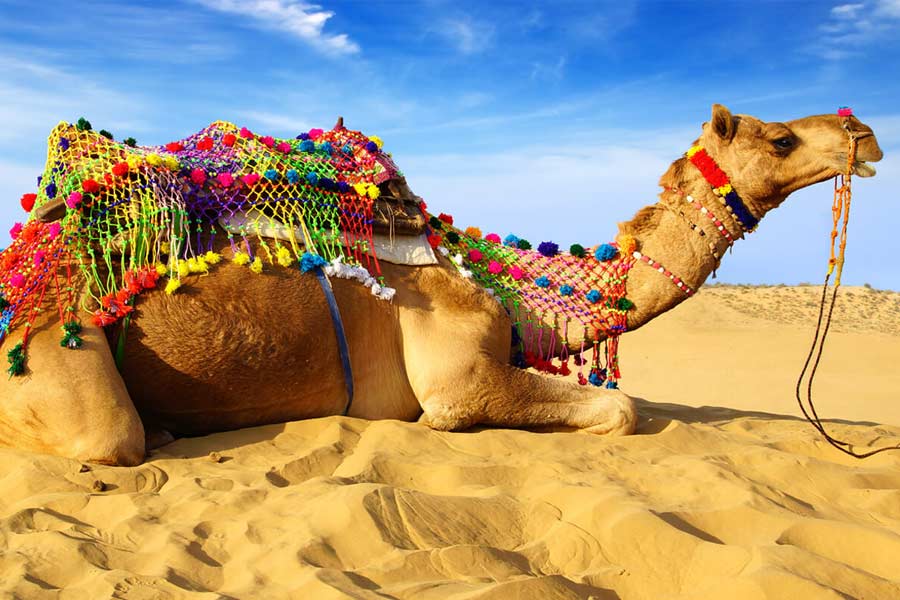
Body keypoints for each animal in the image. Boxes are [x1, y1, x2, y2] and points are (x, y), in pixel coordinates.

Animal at [0, 105, 883, 466]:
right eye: (779, 138)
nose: (864, 131)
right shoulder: (457, 376)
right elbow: (621, 409)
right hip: (45, 350)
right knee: (104, 437)